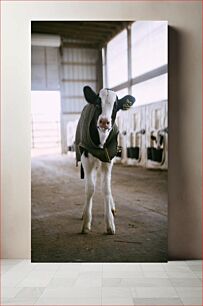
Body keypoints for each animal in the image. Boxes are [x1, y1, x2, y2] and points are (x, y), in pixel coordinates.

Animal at [74, 86, 135, 234]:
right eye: (97, 103)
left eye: (116, 107)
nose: (104, 121)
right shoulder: (85, 157)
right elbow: (90, 188)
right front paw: (86, 223)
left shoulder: (108, 159)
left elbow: (106, 188)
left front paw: (110, 224)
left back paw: (112, 208)